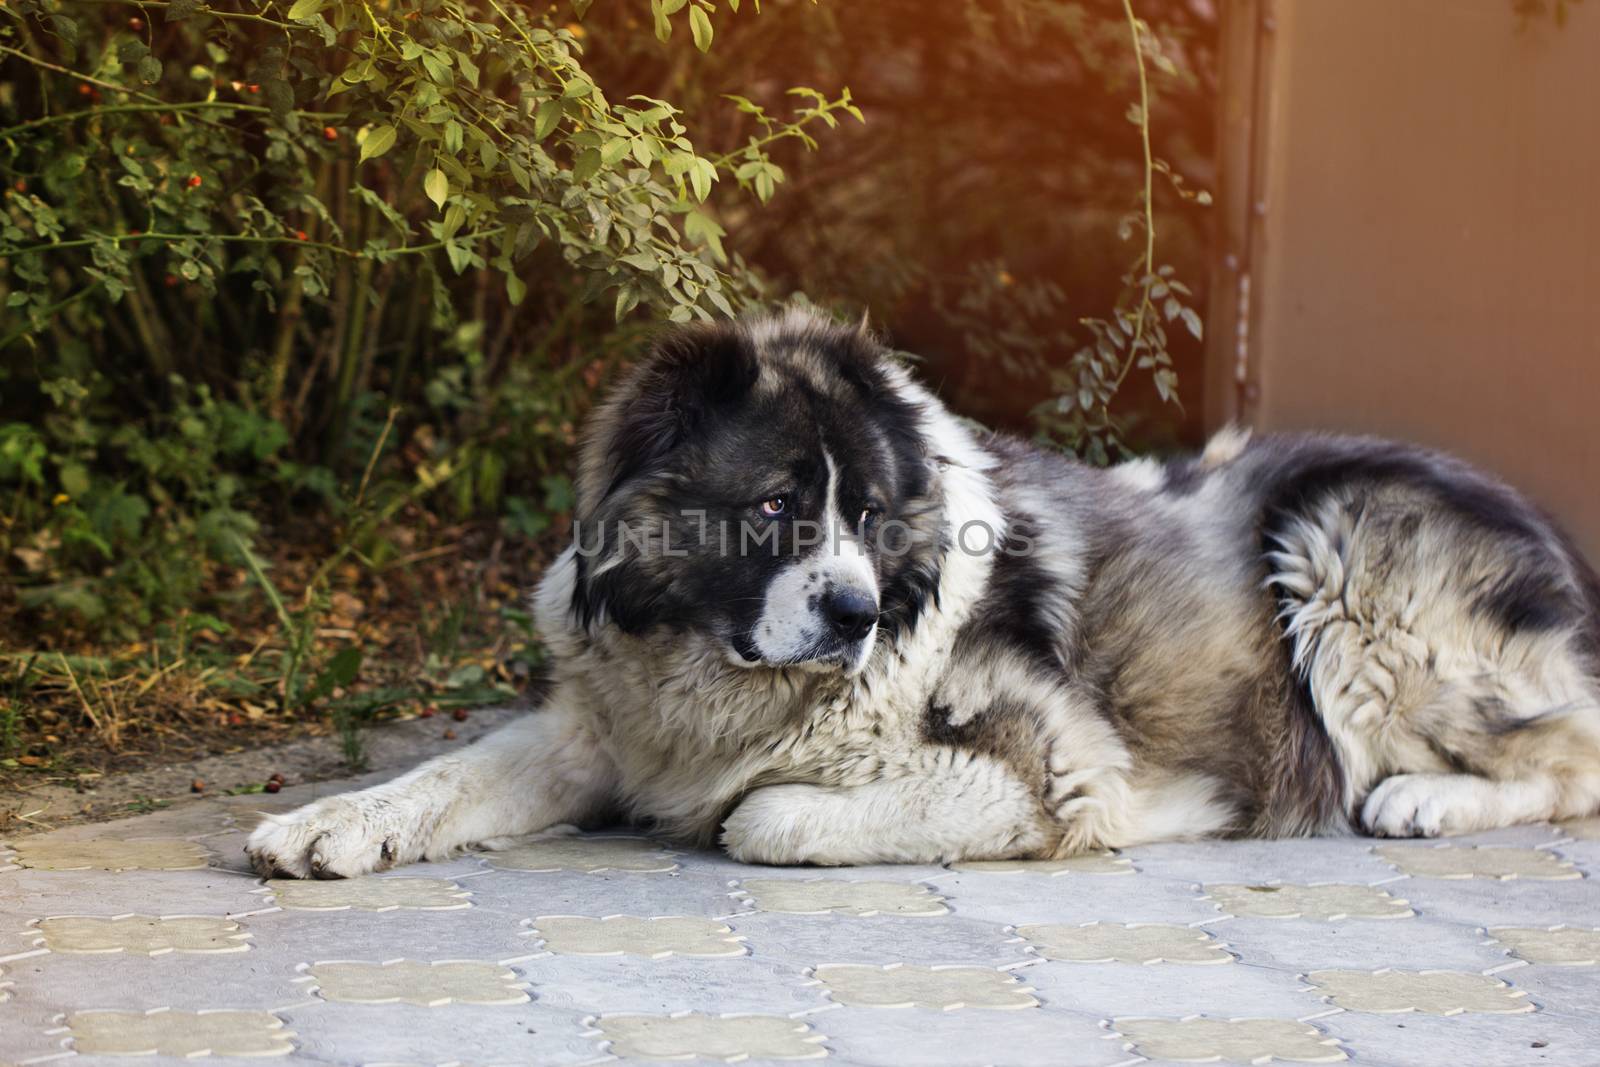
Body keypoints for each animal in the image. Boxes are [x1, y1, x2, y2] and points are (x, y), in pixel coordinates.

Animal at [246, 308, 1600, 876]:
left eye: (868, 512)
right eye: (776, 507)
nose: (852, 614)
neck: (716, 675)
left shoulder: (1054, 770)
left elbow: (762, 813)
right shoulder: (594, 728)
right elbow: (446, 775)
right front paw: (327, 824)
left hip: (1338, 552)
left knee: (1570, 749)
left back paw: (1422, 799)